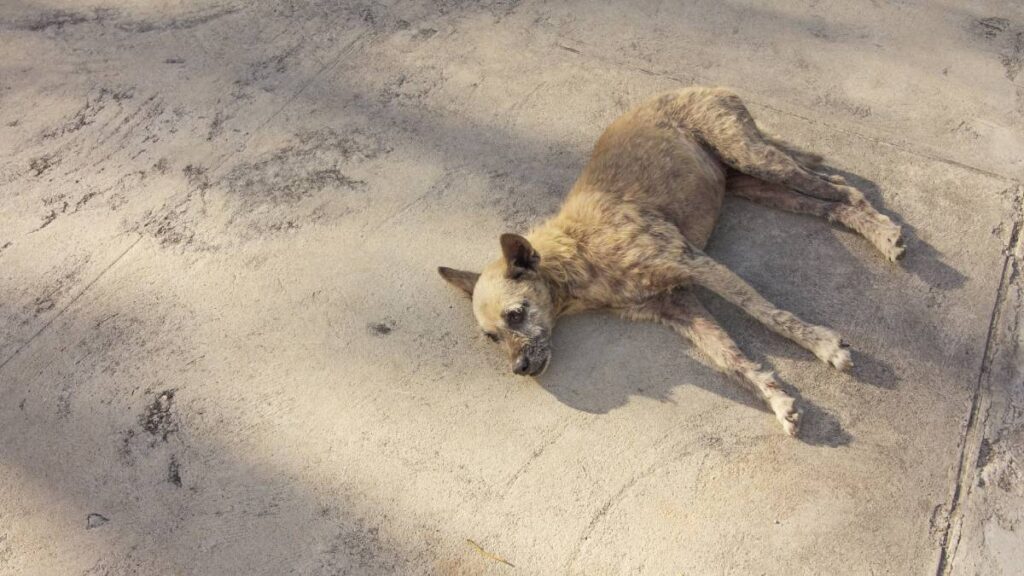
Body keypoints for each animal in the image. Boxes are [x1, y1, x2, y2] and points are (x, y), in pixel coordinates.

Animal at [436, 86, 901, 434]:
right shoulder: (679, 307)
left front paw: (823, 345)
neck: (576, 254)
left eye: (516, 314)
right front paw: (776, 399)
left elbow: (767, 314)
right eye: (491, 337)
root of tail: (703, 86)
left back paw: (884, 232)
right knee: (831, 200)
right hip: (754, 184)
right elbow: (730, 360)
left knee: (842, 188)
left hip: (756, 159)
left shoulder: (695, 263)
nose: (519, 368)